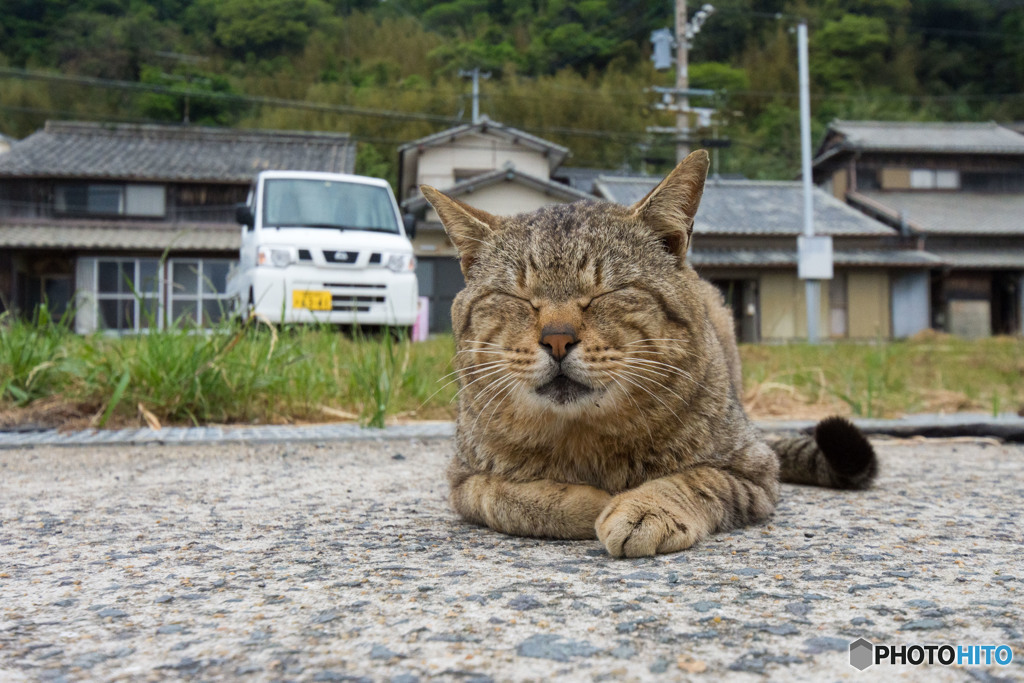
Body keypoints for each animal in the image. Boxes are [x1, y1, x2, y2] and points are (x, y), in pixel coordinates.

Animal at [419, 149, 876, 557]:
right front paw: (587, 501)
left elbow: (696, 480)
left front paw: (644, 507)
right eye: (519, 298)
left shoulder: (755, 471)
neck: (582, 437)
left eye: (607, 292)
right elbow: (507, 496)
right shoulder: (462, 481)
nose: (557, 339)